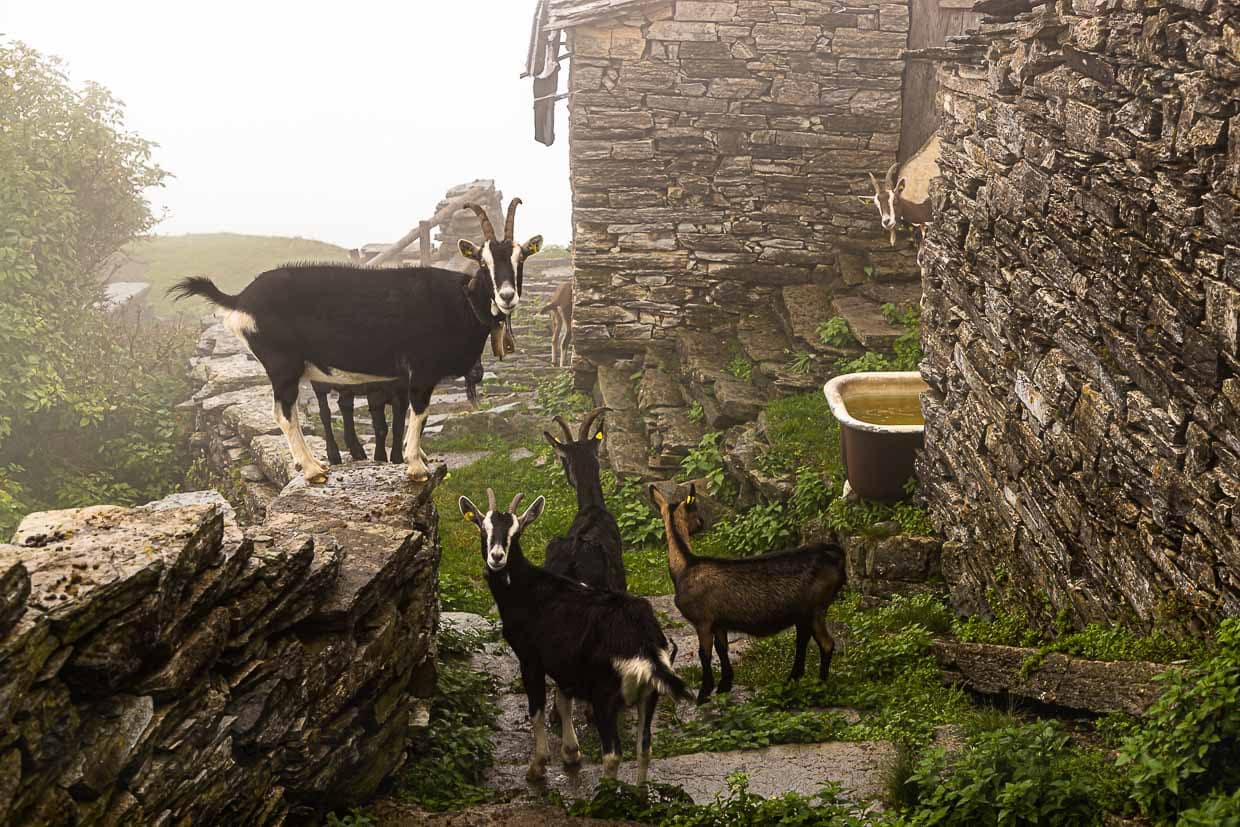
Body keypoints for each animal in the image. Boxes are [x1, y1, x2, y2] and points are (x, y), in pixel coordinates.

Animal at [170, 199, 541, 484]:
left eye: (521, 258)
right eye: (482, 261)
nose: (507, 296)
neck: (461, 300)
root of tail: (240, 298)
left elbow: (412, 415)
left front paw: (420, 458)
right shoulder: (421, 369)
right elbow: (420, 412)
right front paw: (416, 466)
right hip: (282, 363)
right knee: (284, 413)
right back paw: (313, 470)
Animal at [458, 489, 691, 784]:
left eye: (516, 531)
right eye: (483, 527)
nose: (497, 556)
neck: (526, 588)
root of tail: (644, 643)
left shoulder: (531, 659)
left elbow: (537, 710)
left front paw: (538, 765)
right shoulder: (563, 660)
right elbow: (563, 701)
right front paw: (570, 753)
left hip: (605, 694)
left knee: (613, 753)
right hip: (649, 696)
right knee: (645, 747)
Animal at [650, 484, 847, 704]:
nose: (701, 523)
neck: (685, 567)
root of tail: (835, 556)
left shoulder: (703, 620)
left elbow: (704, 654)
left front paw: (703, 695)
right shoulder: (719, 622)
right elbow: (722, 648)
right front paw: (724, 686)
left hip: (816, 608)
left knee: (826, 643)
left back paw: (819, 685)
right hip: (806, 612)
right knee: (807, 640)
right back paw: (797, 679)